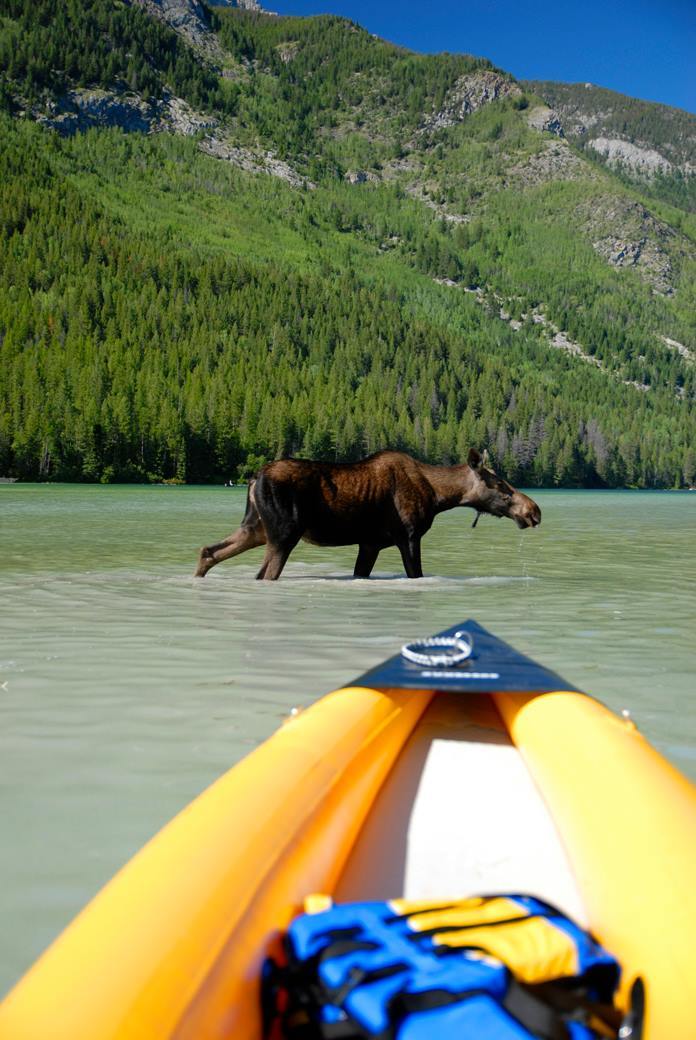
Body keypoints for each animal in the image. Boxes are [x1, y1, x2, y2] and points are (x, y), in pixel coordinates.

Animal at [192, 447, 540, 582]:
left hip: (256, 528)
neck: (440, 496)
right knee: (264, 574)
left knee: (210, 550)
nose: (534, 510)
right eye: (501, 484)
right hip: (283, 533)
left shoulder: (370, 544)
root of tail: (253, 478)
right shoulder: (408, 537)